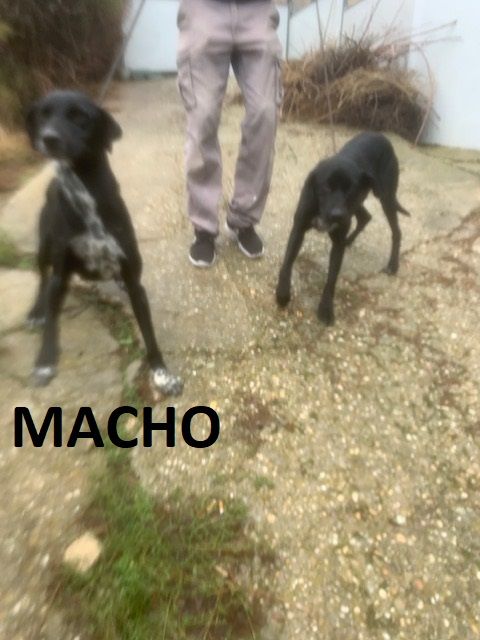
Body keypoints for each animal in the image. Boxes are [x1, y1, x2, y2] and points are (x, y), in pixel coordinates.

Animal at [26, 90, 183, 394]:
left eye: (80, 116)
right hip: (44, 247)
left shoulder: (135, 283)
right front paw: (44, 363)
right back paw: (36, 311)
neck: (87, 190)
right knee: (42, 278)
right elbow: (52, 321)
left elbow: (149, 334)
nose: (48, 138)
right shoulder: (60, 275)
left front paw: (162, 375)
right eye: (43, 115)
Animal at [276, 132, 410, 325]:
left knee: (396, 231)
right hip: (360, 203)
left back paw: (392, 265)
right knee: (365, 217)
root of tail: (382, 136)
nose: (337, 215)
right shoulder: (299, 229)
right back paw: (351, 240)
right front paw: (282, 294)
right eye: (326, 186)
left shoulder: (338, 241)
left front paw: (326, 309)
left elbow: (331, 278)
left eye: (350, 188)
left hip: (384, 197)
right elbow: (287, 262)